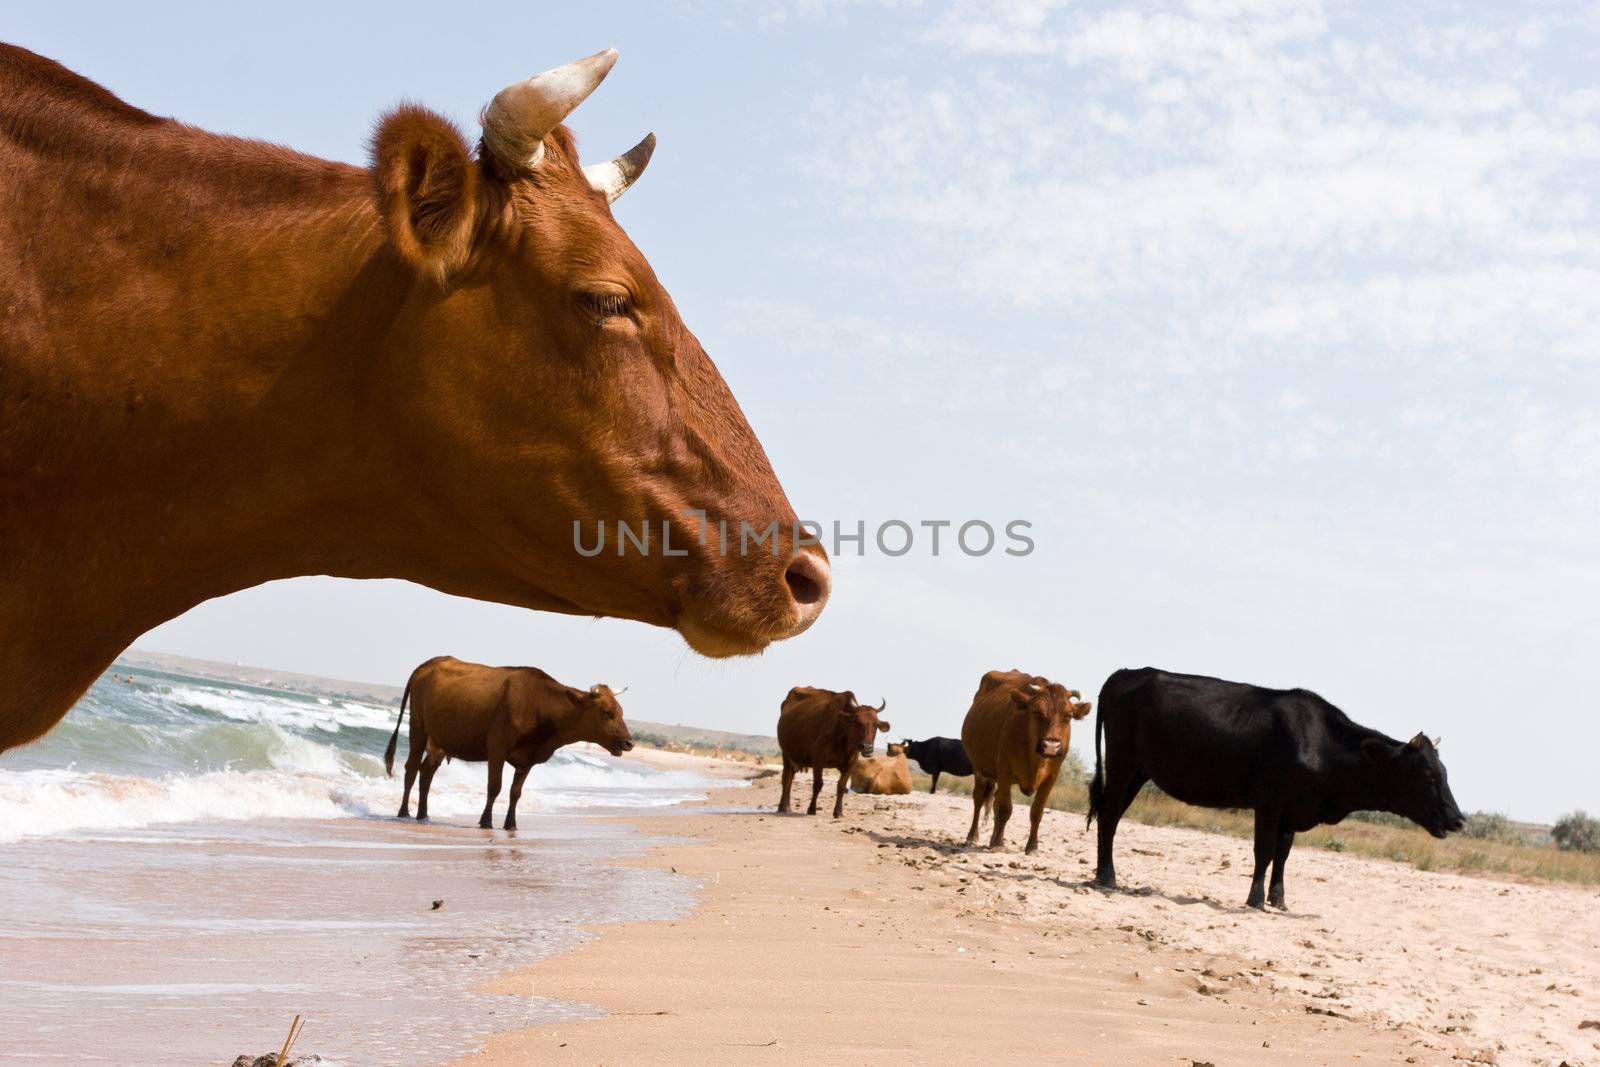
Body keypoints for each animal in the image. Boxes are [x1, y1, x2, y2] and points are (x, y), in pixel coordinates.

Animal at [384, 652, 633, 831]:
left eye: (622, 711)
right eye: (607, 711)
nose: (629, 742)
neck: (539, 705)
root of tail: (428, 664)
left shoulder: (528, 759)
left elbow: (515, 792)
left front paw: (511, 825)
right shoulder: (497, 747)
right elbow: (495, 786)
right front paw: (486, 821)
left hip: (439, 741)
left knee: (426, 773)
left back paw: (423, 814)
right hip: (418, 728)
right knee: (411, 769)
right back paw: (404, 812)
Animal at [953, 671, 1094, 857]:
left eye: (1068, 716)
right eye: (1036, 712)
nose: (1051, 746)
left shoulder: (1052, 776)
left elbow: (1037, 812)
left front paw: (1032, 847)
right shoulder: (1005, 770)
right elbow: (1004, 808)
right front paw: (998, 844)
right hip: (980, 769)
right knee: (979, 799)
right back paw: (972, 837)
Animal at [1088, 668, 1465, 908]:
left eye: (1444, 773)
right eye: (1427, 776)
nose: (1459, 820)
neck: (1323, 746)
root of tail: (1127, 672)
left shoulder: (1294, 808)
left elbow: (1283, 854)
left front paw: (1279, 900)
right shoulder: (1269, 800)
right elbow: (1265, 850)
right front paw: (1256, 899)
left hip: (1139, 770)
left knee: (1113, 814)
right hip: (1121, 761)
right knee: (1108, 813)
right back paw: (1107, 877)